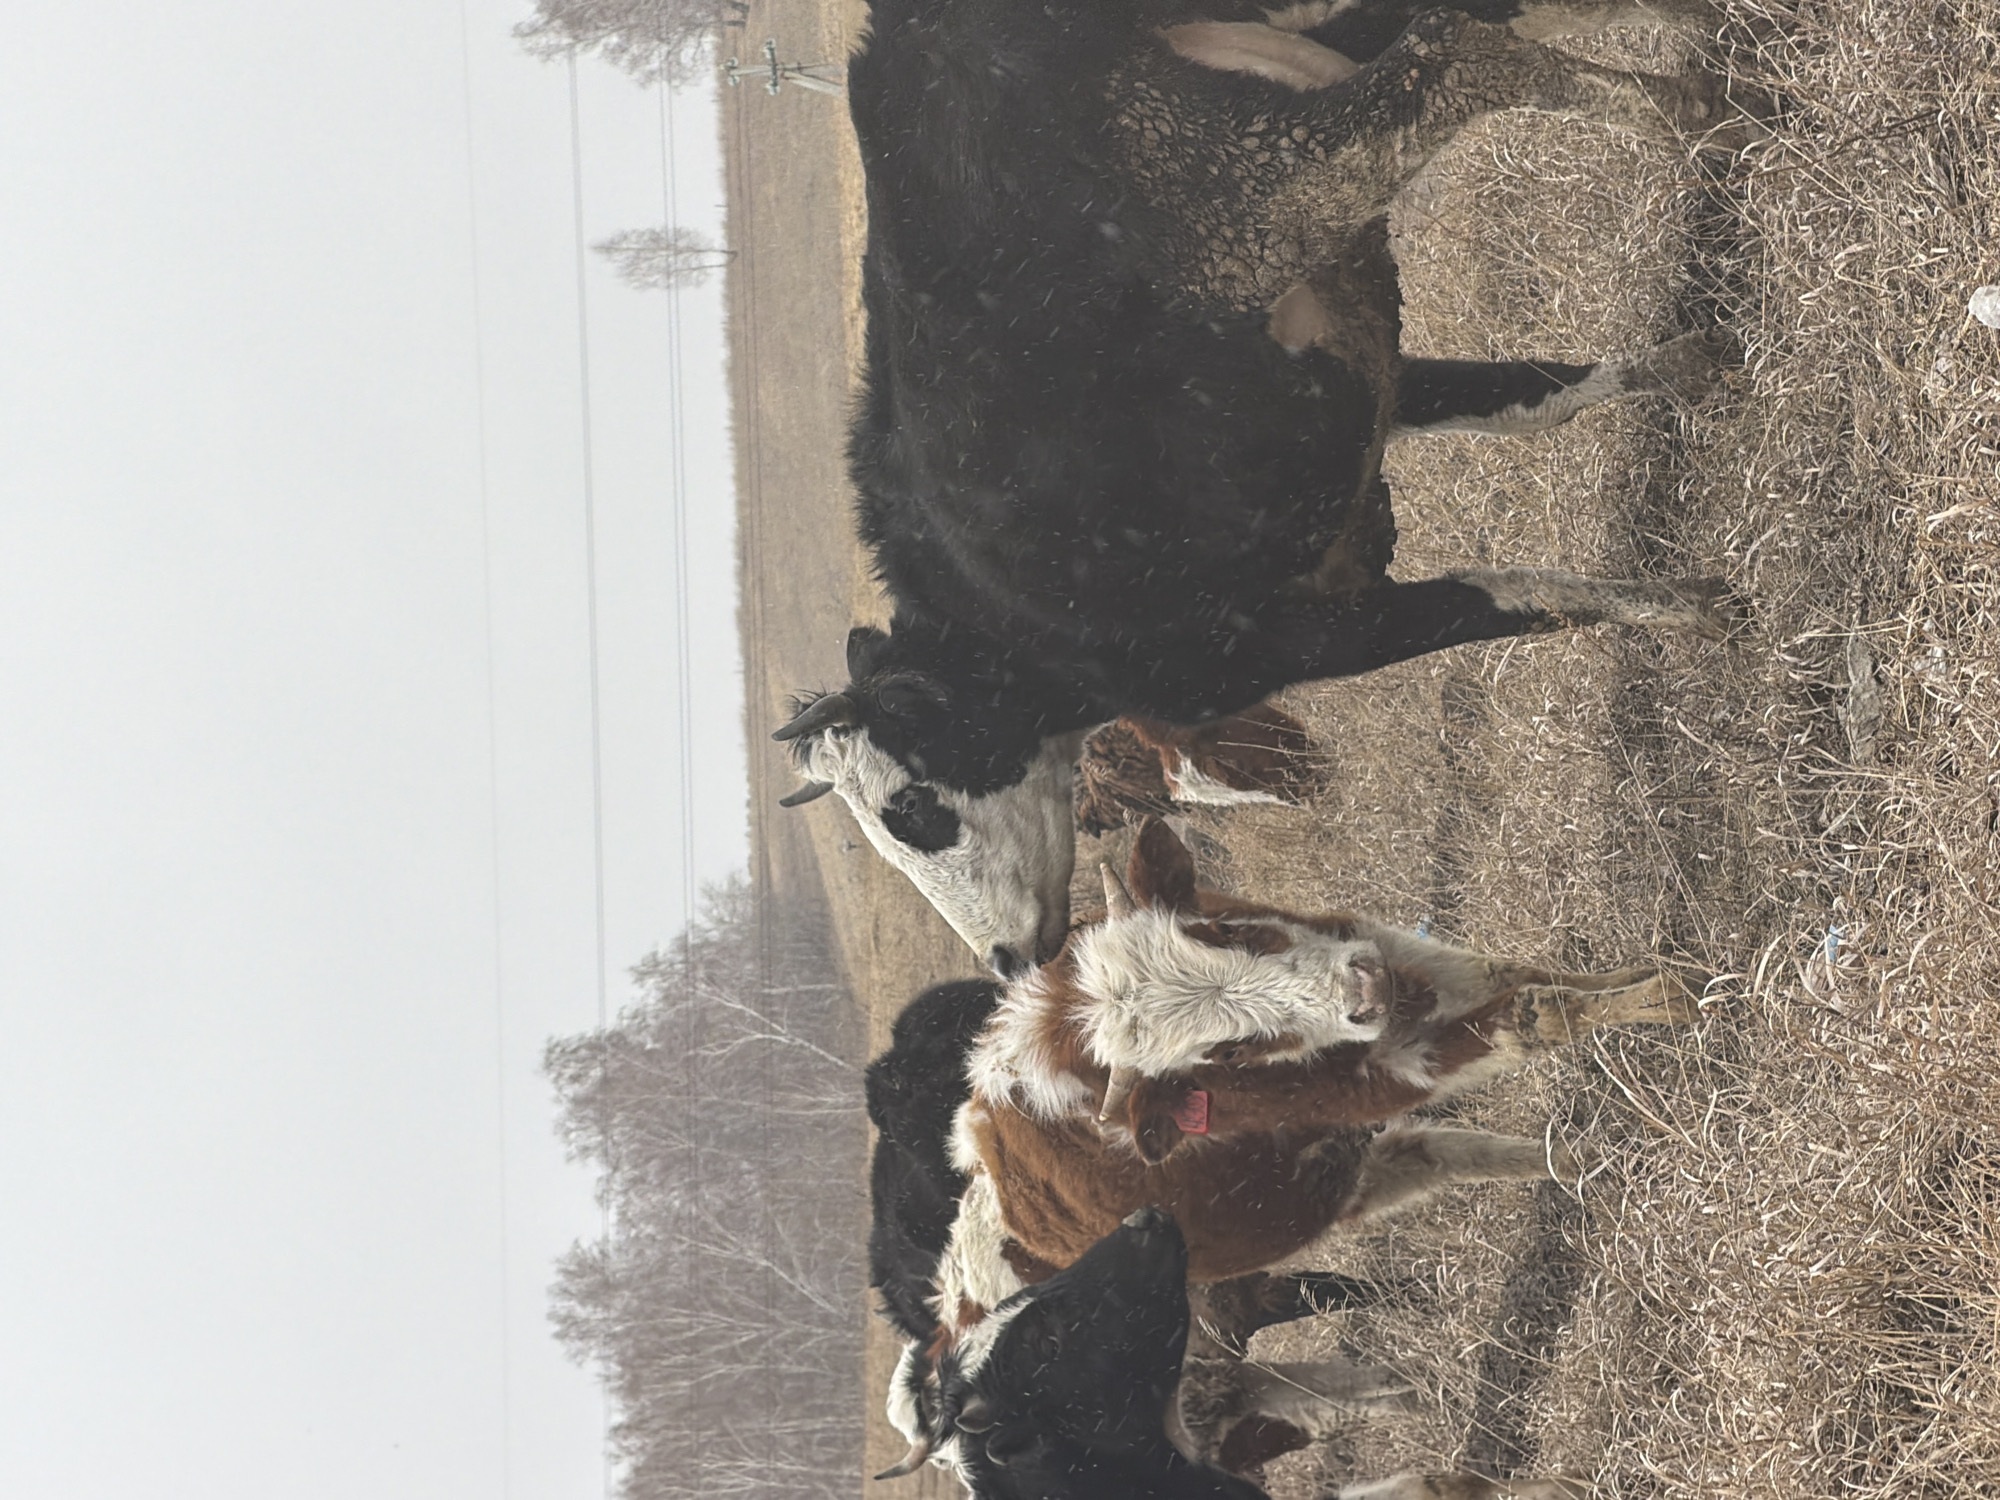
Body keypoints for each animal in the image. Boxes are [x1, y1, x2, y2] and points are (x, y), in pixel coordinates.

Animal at [774, 0, 1752, 975]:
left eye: (910, 807)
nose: (1007, 962)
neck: (1010, 626)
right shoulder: (1364, 389)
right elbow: (1531, 402)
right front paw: (1682, 367)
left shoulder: (1276, 646)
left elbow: (1504, 599)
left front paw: (1691, 608)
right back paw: (1706, 80)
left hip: (1252, 197)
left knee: (1446, 57)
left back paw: (1694, 112)